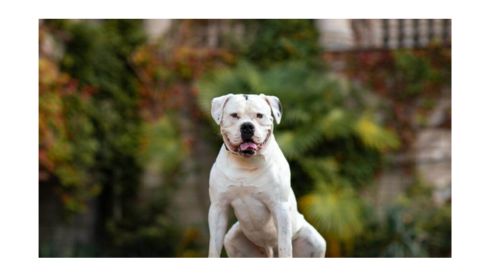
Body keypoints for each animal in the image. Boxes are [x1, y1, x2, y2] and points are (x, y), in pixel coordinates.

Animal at [207, 93, 326, 258]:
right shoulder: (218, 207)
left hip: (315, 241)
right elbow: (213, 247)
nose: (247, 126)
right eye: (234, 115)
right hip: (232, 239)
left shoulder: (280, 207)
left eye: (259, 115)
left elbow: (285, 247)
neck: (246, 163)